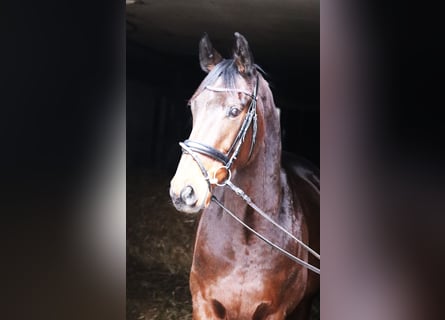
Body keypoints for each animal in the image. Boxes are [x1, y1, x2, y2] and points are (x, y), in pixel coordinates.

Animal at [168, 33, 318, 320]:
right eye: (193, 107)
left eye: (235, 111)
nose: (183, 191)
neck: (245, 241)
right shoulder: (204, 305)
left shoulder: (275, 312)